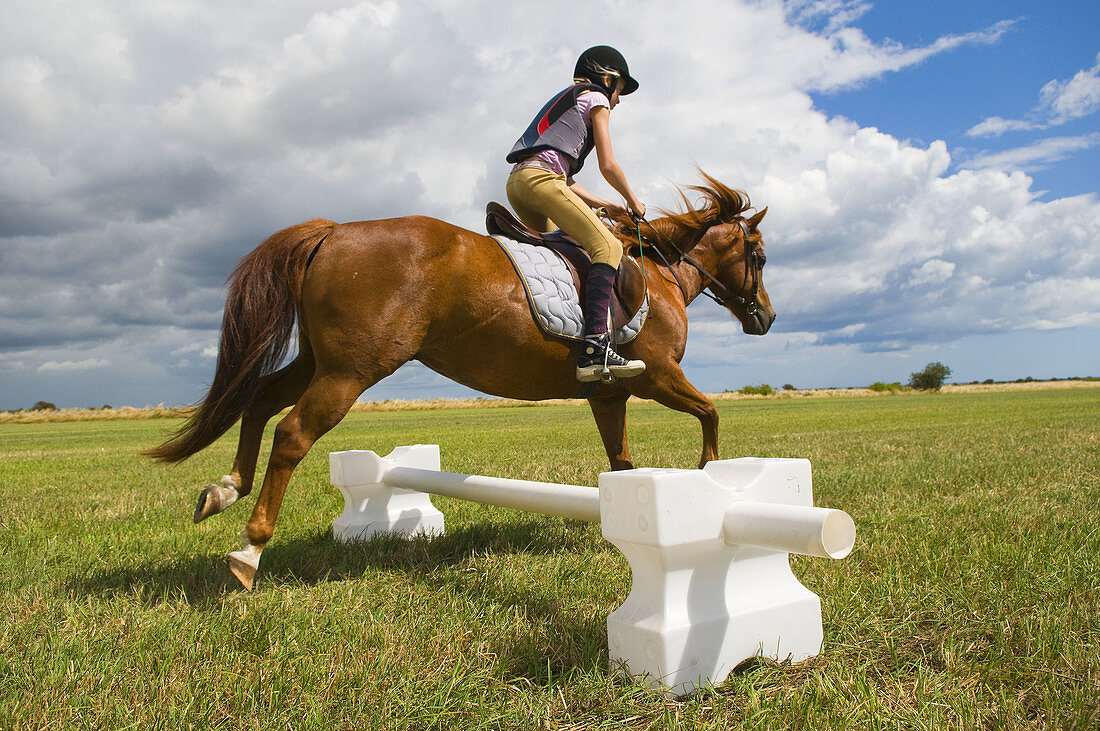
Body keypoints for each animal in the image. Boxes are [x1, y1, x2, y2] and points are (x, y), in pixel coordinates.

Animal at [148, 172, 774, 589]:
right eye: (761, 257)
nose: (765, 319)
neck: (659, 271)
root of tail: (334, 231)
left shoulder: (610, 392)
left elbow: (621, 463)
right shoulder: (659, 377)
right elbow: (711, 412)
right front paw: (708, 476)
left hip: (316, 362)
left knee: (257, 401)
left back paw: (224, 490)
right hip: (351, 371)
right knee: (293, 433)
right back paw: (249, 552)